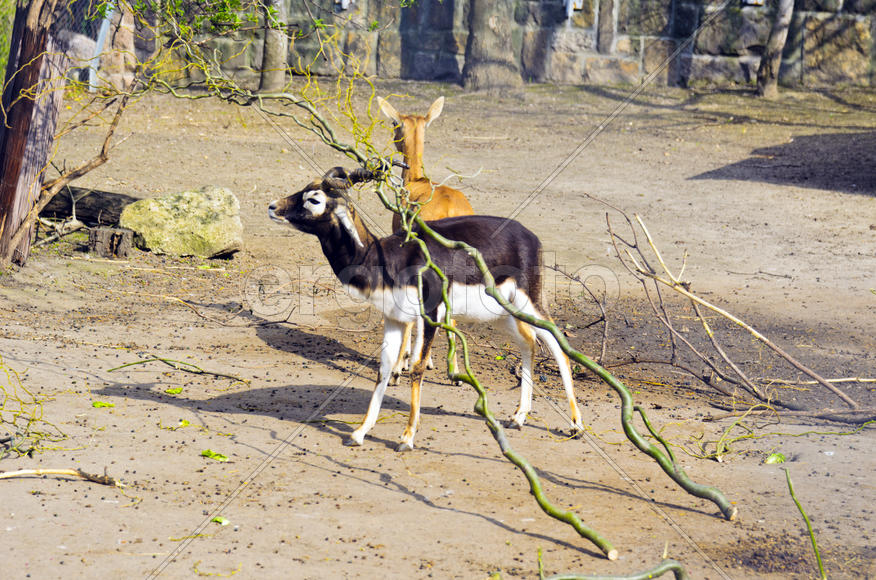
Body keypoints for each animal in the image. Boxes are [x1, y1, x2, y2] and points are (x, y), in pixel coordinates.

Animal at [268, 167, 583, 451]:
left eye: (314, 199)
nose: (273, 207)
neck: (385, 257)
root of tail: (531, 236)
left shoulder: (430, 315)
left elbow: (417, 367)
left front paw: (407, 438)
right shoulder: (393, 318)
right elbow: (384, 369)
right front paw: (359, 432)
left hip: (529, 302)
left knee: (557, 344)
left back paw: (575, 426)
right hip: (501, 314)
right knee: (528, 342)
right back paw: (518, 417)